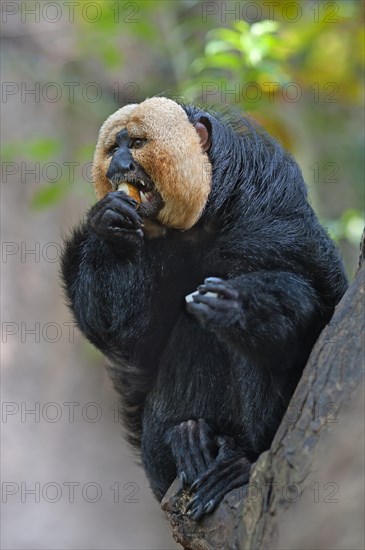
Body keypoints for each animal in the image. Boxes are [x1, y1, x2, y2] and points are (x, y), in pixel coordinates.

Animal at [61, 96, 348, 520]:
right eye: (115, 148)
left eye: (138, 144)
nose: (119, 166)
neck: (198, 222)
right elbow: (129, 336)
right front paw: (111, 227)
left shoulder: (269, 206)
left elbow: (311, 297)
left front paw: (239, 308)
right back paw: (188, 438)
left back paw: (240, 462)